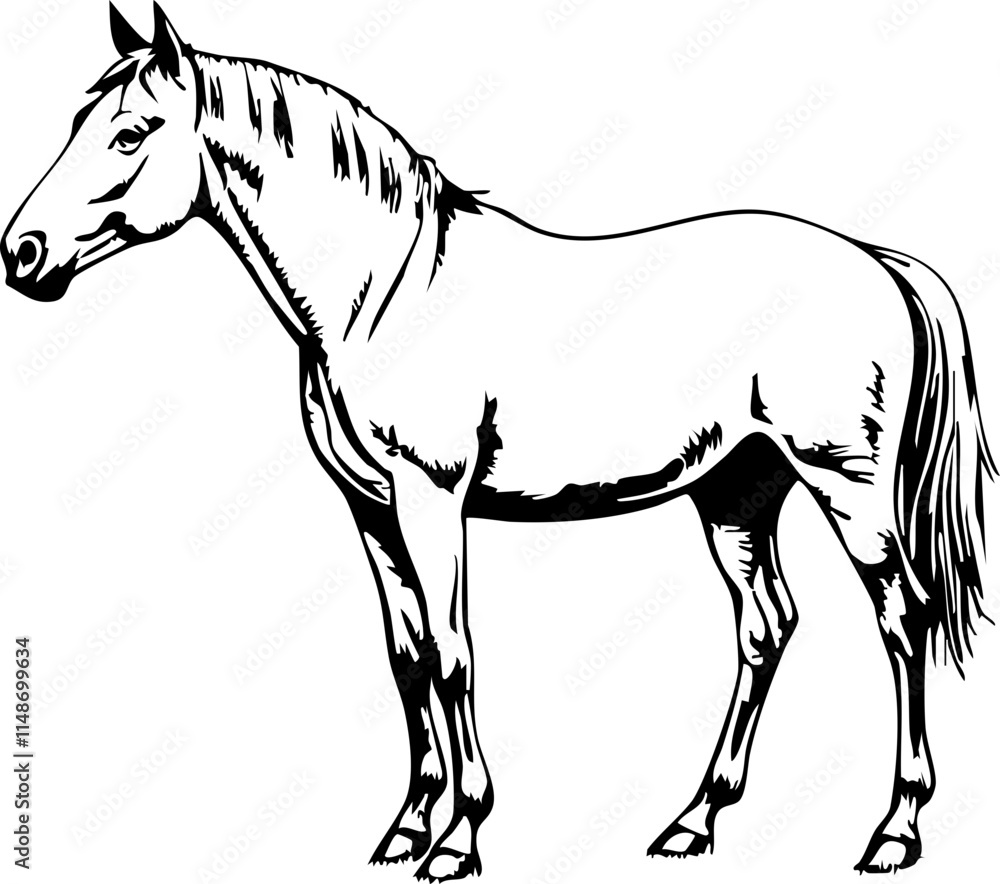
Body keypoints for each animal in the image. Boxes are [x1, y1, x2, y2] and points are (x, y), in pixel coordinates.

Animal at [3, 5, 994, 881]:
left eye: (131, 133)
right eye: (80, 122)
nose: (23, 254)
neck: (383, 293)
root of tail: (878, 261)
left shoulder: (431, 497)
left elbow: (452, 654)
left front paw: (457, 841)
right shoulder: (370, 507)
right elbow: (406, 659)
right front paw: (407, 828)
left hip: (846, 485)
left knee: (903, 618)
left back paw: (894, 834)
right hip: (737, 492)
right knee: (766, 628)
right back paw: (694, 822)